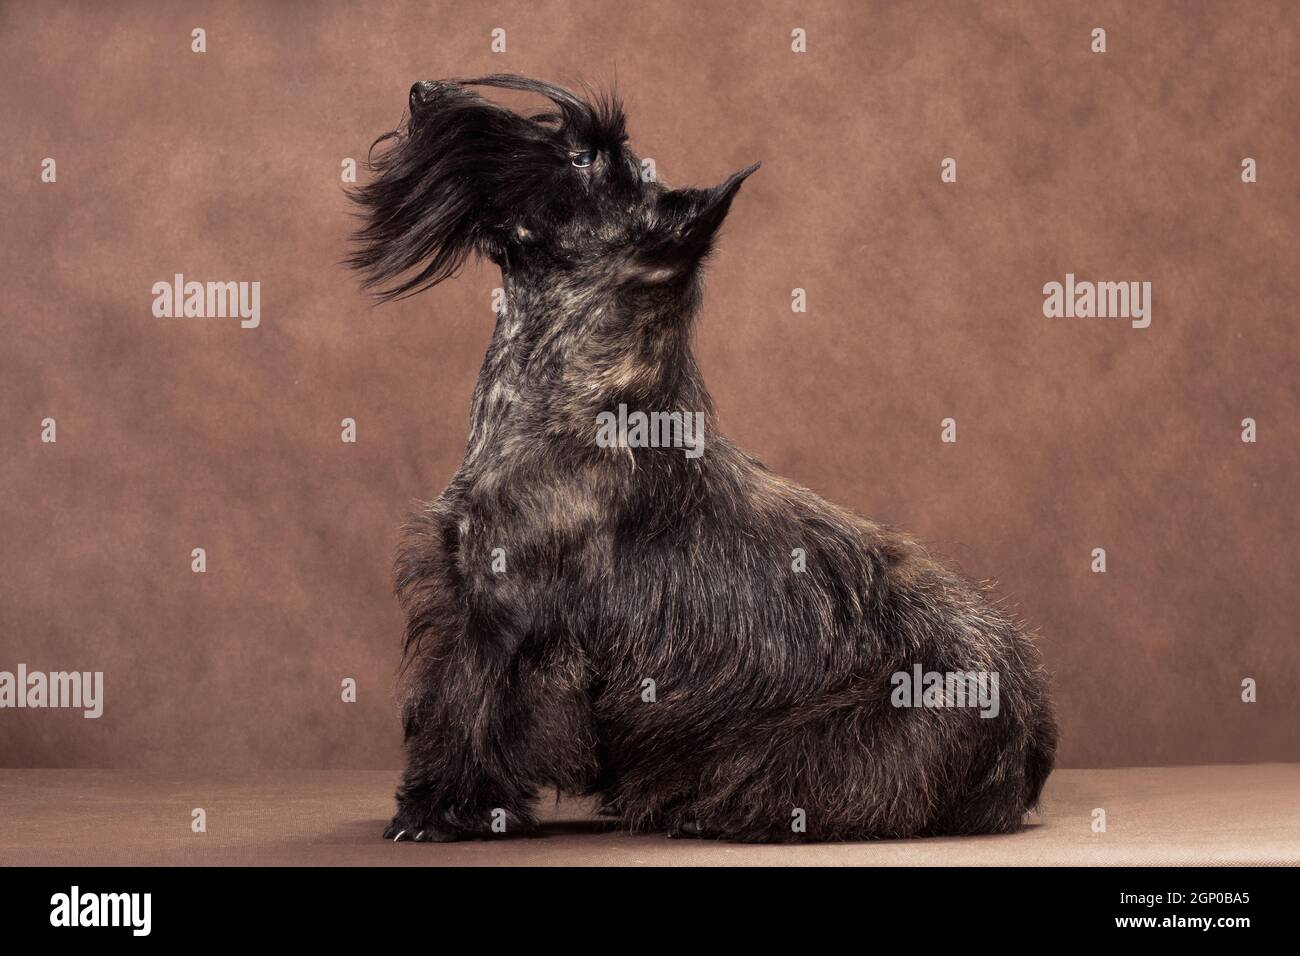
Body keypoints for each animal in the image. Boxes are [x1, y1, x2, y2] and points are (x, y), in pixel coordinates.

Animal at [348, 74, 1055, 842]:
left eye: (582, 158)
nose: (423, 92)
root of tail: (1033, 722)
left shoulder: (502, 616)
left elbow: (471, 709)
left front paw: (443, 808)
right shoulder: (464, 596)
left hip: (846, 739)